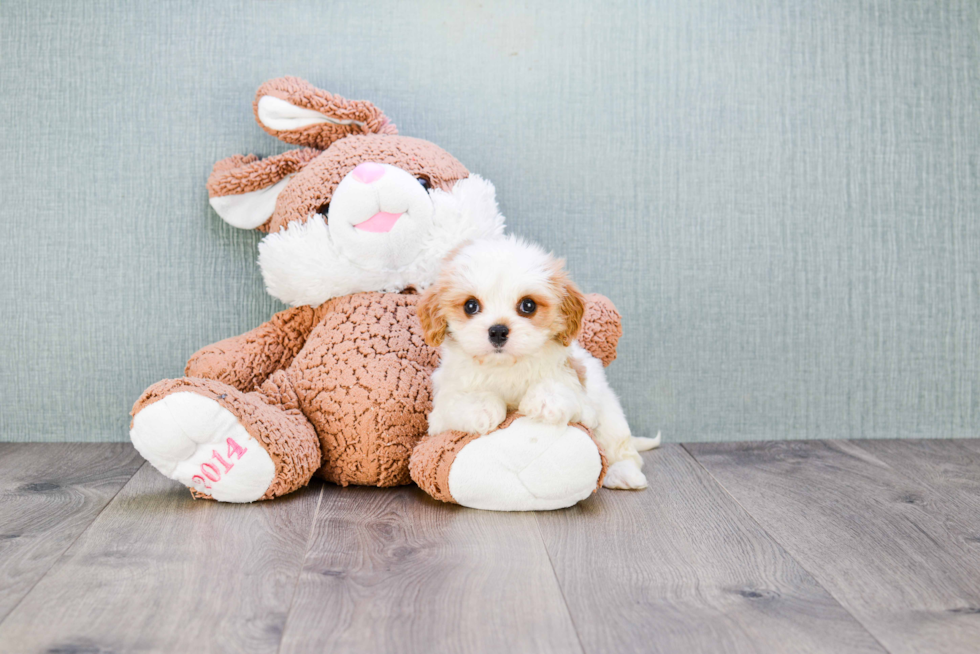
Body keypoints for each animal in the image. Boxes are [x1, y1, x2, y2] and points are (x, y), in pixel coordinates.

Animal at [414, 237, 652, 492]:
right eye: (470, 306)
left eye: (528, 305)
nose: (498, 331)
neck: (506, 367)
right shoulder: (440, 412)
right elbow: (461, 399)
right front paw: (482, 408)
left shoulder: (580, 394)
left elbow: (561, 388)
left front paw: (545, 401)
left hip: (609, 415)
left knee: (622, 449)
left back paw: (624, 473)